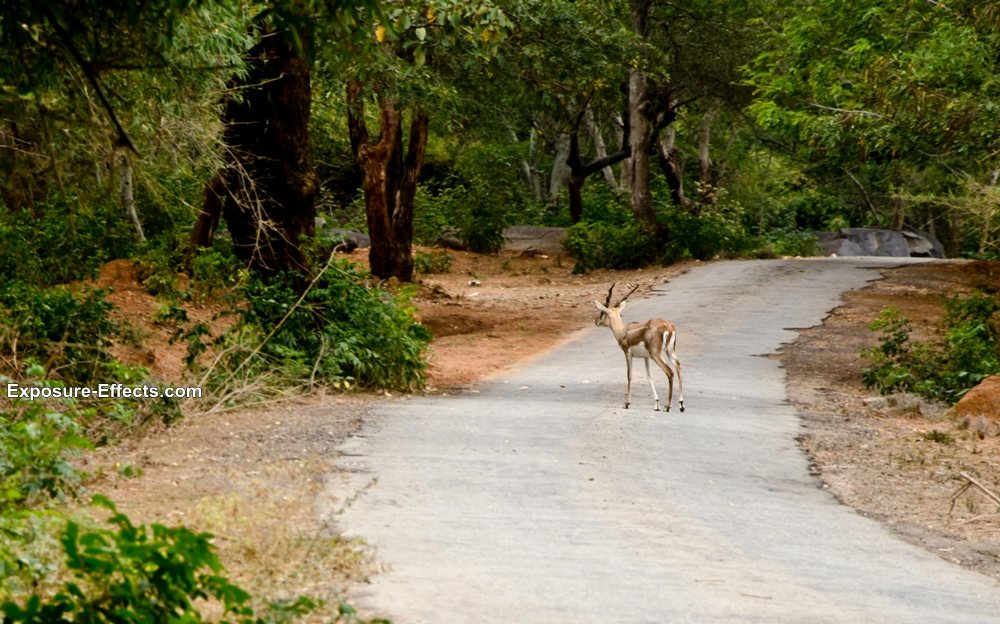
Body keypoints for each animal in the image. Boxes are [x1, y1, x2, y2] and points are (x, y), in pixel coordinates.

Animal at [592, 284, 688, 412]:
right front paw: (656, 404)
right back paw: (681, 405)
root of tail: (668, 326)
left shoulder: (627, 353)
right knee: (678, 367)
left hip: (656, 354)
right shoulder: (645, 357)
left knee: (670, 371)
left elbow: (629, 375)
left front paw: (627, 403)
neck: (623, 332)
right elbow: (649, 377)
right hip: (669, 351)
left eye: (602, 312)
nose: (596, 321)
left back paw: (667, 406)